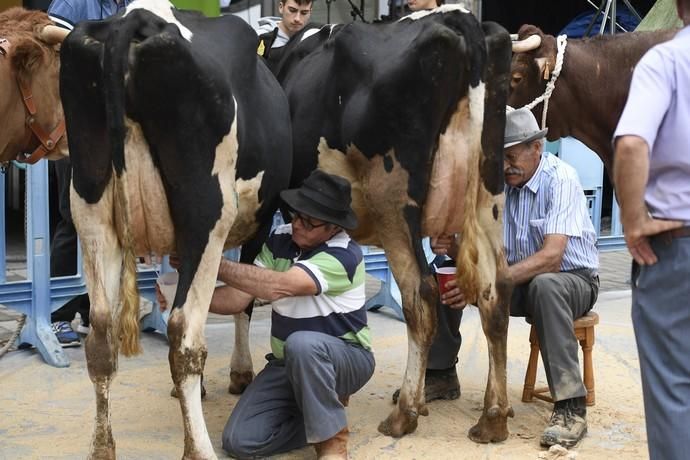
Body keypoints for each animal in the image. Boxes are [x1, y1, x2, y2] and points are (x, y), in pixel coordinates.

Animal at [56, 1, 288, 458]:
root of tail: (138, 18)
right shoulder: (259, 217)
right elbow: (244, 301)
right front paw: (239, 373)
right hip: (206, 209)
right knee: (183, 335)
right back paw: (198, 449)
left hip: (90, 206)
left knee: (101, 335)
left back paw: (102, 449)